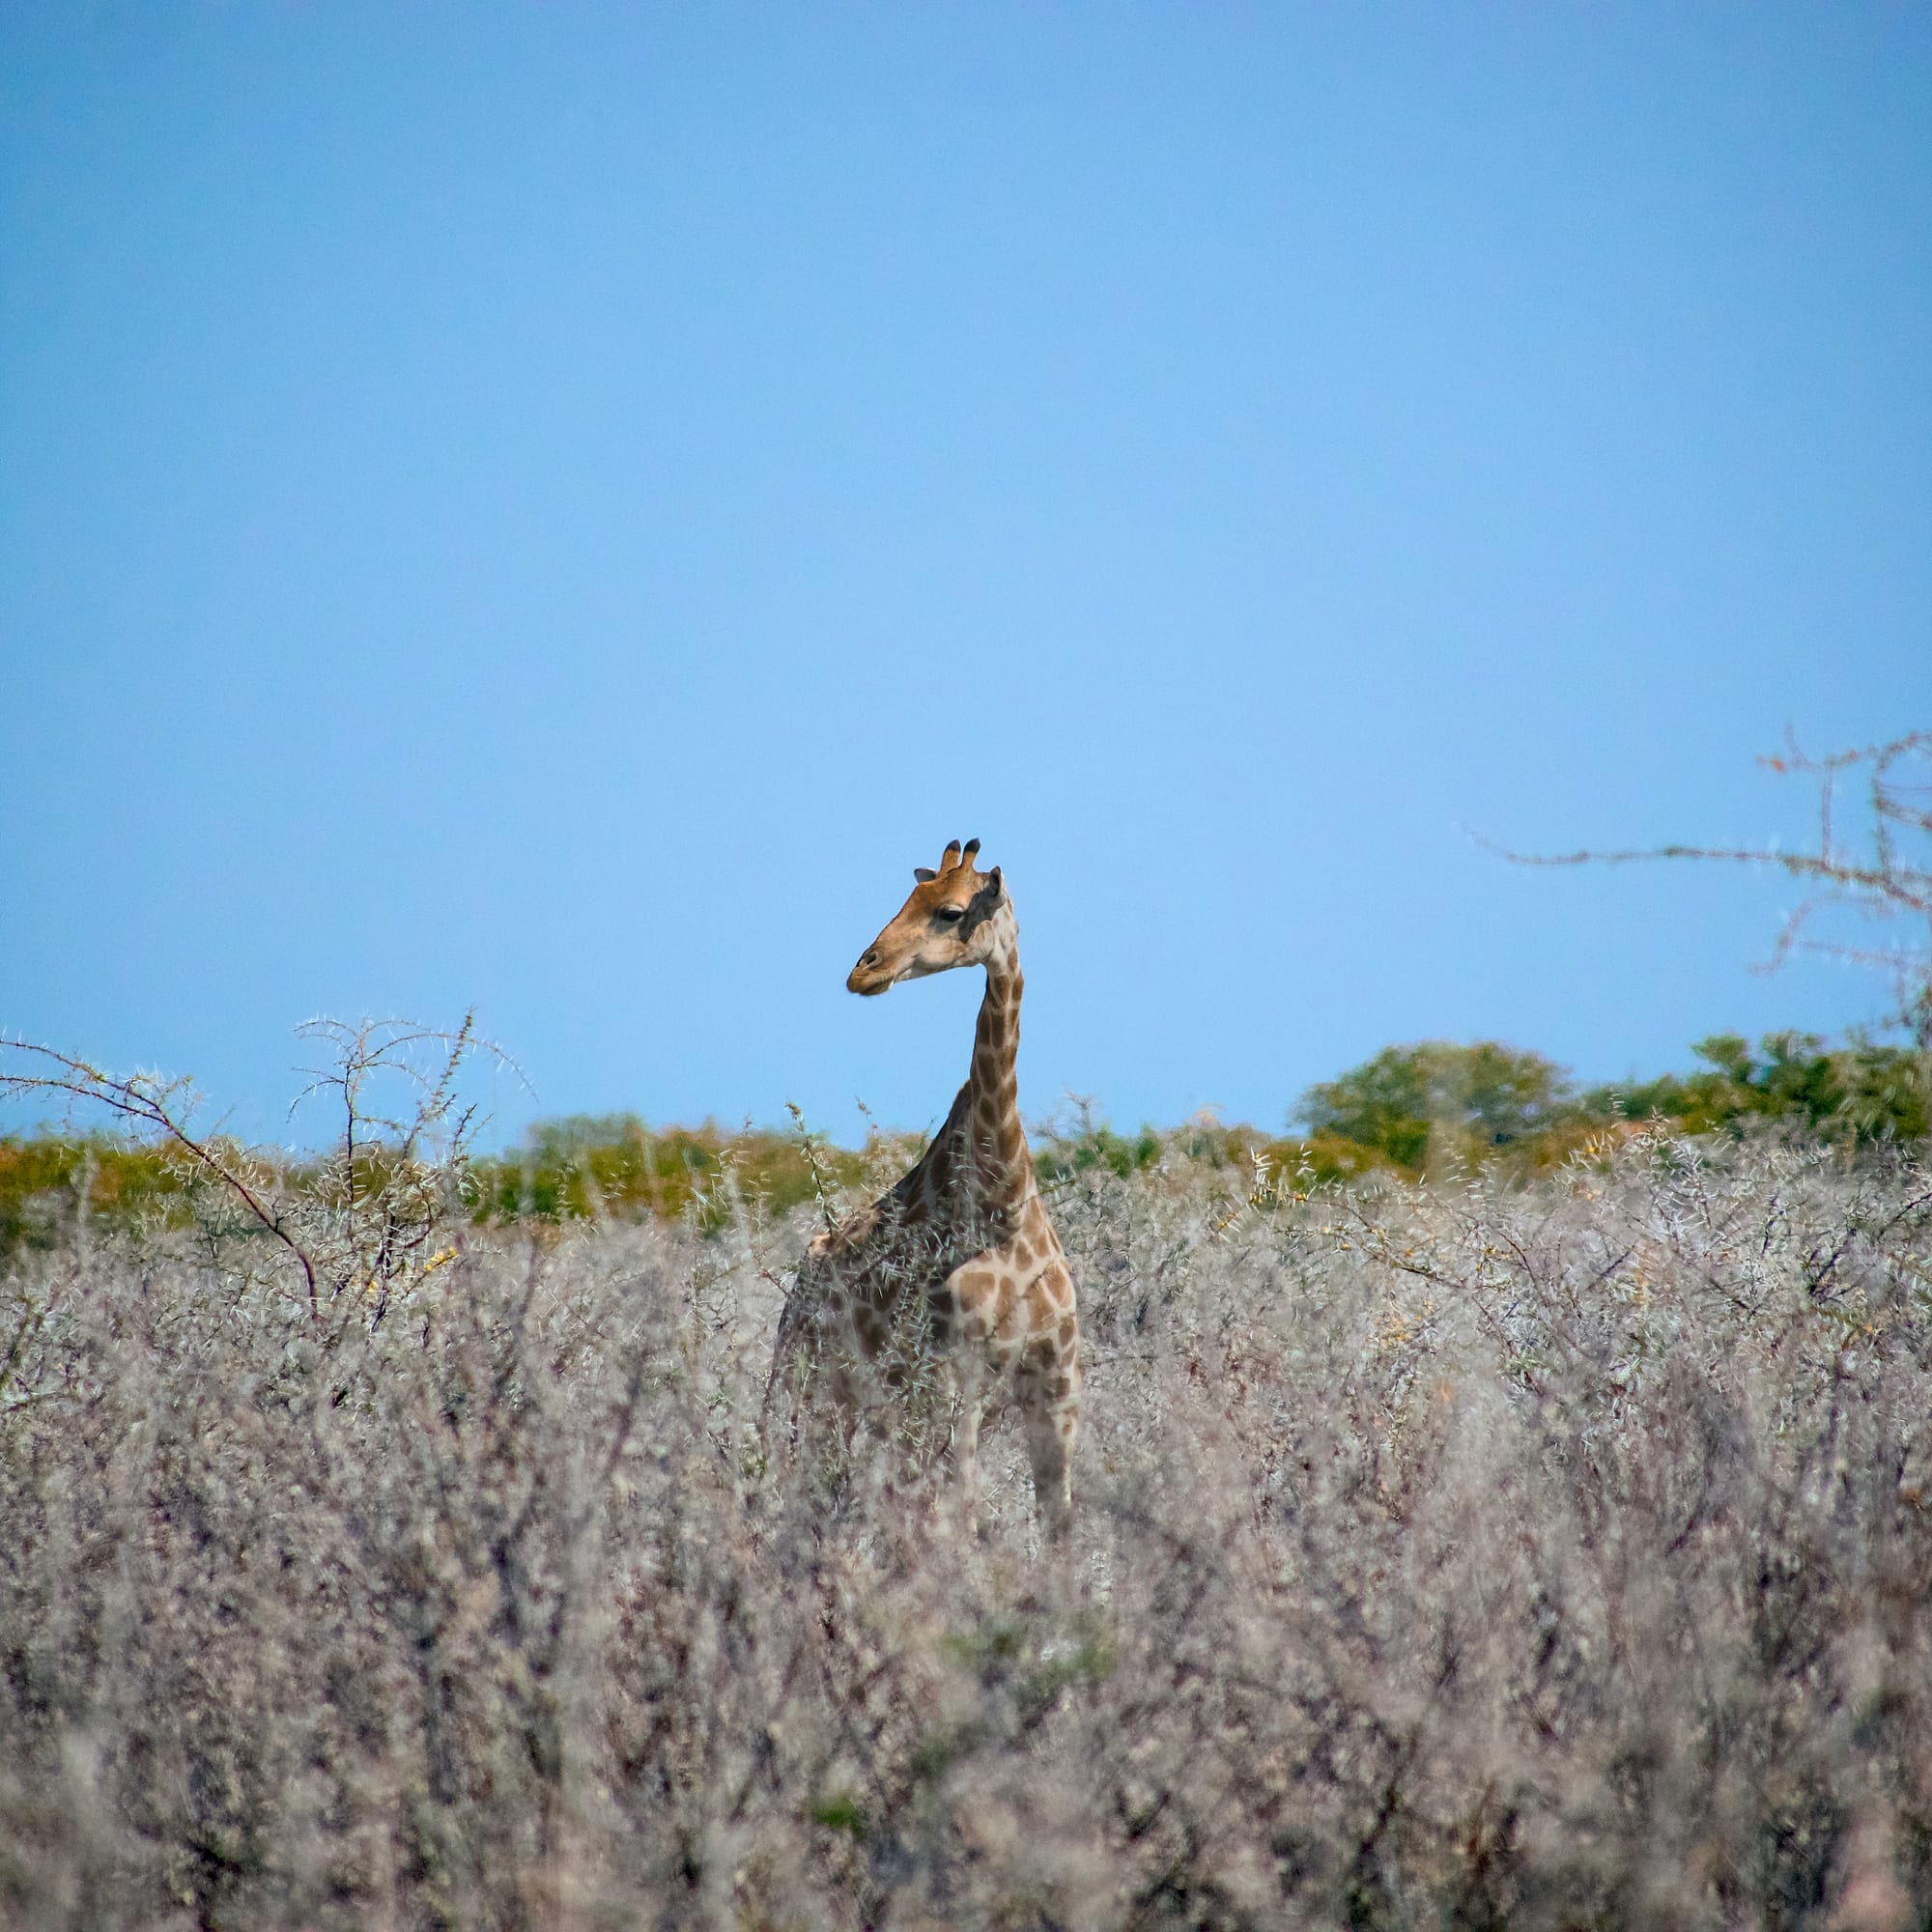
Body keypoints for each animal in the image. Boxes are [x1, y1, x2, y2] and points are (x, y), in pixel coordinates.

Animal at [768, 839, 1082, 1543]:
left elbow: (1060, 1528)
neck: (1003, 1199)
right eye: (906, 899)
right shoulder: (953, 1374)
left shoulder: (1056, 1380)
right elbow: (960, 1512)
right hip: (808, 1378)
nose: (863, 971)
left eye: (951, 911)